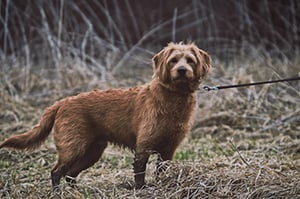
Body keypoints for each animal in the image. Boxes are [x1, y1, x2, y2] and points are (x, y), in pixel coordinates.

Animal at [0, 42, 211, 190]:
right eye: (173, 60)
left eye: (190, 60)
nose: (182, 70)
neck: (173, 98)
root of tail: (61, 103)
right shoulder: (143, 146)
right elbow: (140, 172)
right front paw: (141, 190)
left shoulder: (168, 150)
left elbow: (161, 172)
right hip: (73, 149)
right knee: (56, 172)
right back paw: (57, 193)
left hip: (92, 152)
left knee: (70, 174)